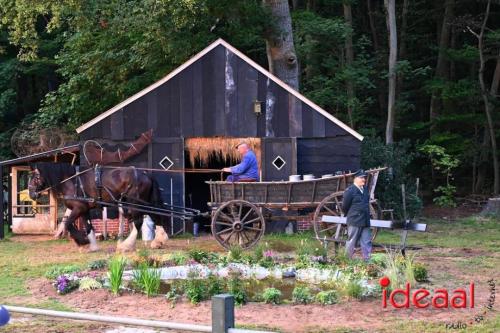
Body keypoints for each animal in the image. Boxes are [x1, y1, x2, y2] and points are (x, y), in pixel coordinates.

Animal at [28, 162, 170, 250]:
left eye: (35, 177)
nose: (31, 194)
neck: (72, 181)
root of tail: (146, 174)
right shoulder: (84, 209)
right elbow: (88, 227)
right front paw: (92, 246)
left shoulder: (78, 208)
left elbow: (68, 224)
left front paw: (83, 242)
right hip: (146, 202)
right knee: (155, 217)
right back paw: (158, 242)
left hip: (135, 203)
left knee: (138, 222)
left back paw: (126, 246)